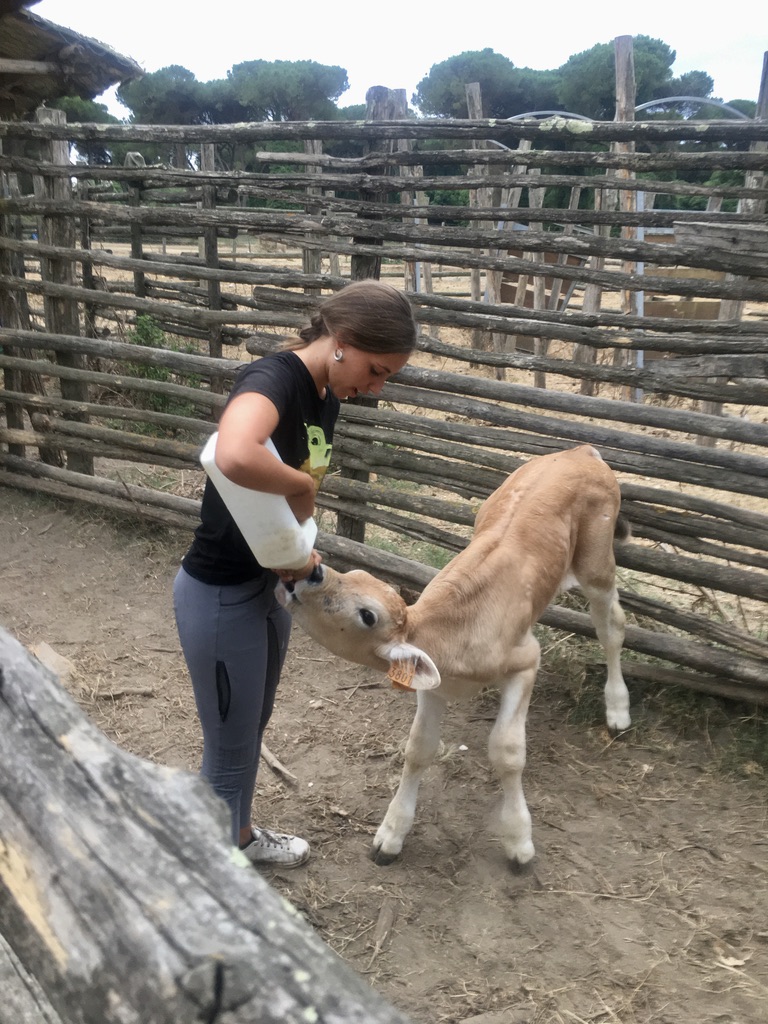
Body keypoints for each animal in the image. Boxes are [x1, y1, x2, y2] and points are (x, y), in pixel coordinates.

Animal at [277, 445, 631, 867]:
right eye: (355, 574)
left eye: (368, 615)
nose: (309, 574)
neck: (453, 637)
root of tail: (580, 451)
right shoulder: (431, 685)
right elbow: (418, 748)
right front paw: (391, 834)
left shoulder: (527, 660)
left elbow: (507, 751)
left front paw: (519, 841)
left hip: (597, 561)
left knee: (611, 627)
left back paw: (618, 711)